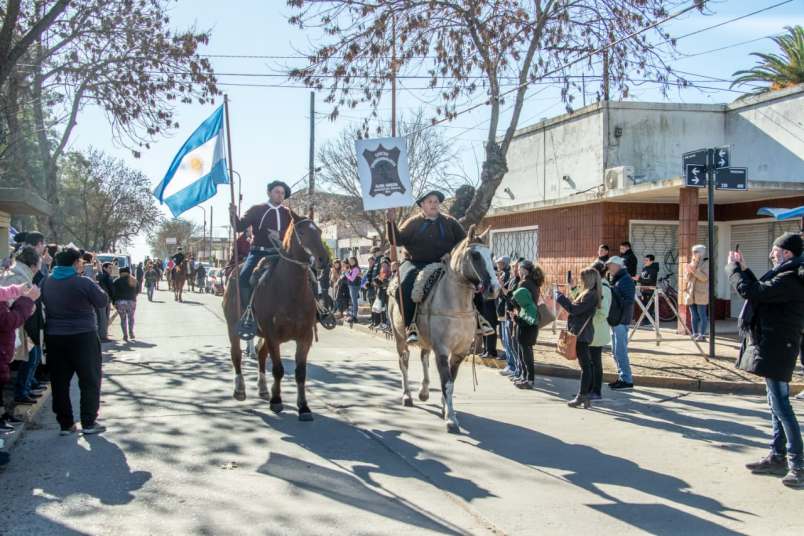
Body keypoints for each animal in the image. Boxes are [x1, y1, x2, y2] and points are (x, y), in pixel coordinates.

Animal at [221, 211, 328, 420]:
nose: (323, 260)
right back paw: (240, 389)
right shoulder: (272, 335)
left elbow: (300, 373)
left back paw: (263, 388)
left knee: (261, 354)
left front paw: (303, 406)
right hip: (233, 327)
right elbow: (278, 369)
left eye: (319, 231)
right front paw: (277, 401)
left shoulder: (305, 337)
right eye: (301, 232)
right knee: (236, 354)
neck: (291, 290)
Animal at [388, 224, 500, 434]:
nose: (494, 289)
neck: (456, 305)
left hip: (425, 340)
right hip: (399, 336)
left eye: (491, 255)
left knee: (424, 357)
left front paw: (445, 408)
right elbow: (446, 382)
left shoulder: (460, 351)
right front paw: (451, 419)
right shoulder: (442, 349)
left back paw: (423, 392)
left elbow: (451, 381)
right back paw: (407, 395)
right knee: (404, 361)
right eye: (475, 255)